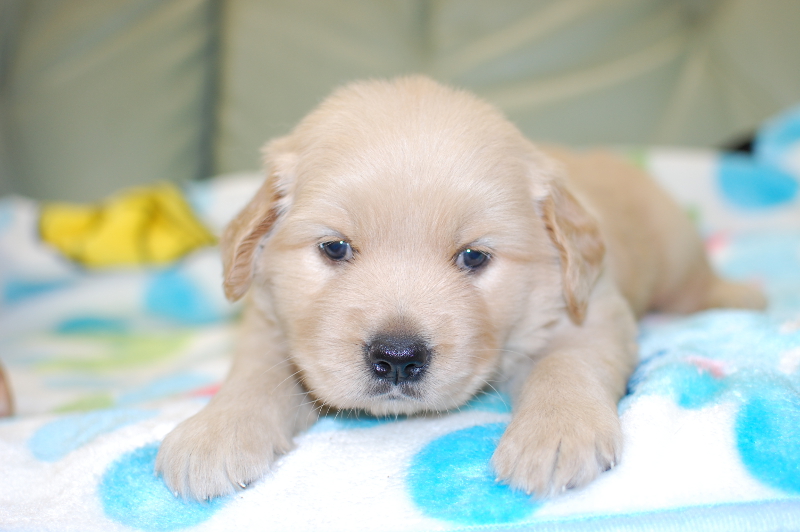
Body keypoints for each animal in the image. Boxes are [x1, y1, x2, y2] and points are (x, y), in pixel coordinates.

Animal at [155, 77, 764, 500]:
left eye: (474, 256)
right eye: (334, 248)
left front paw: (556, 434)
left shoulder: (590, 310)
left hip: (676, 255)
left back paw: (741, 295)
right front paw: (214, 433)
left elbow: (565, 365)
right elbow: (255, 376)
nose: (398, 358)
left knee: (696, 285)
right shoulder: (269, 324)